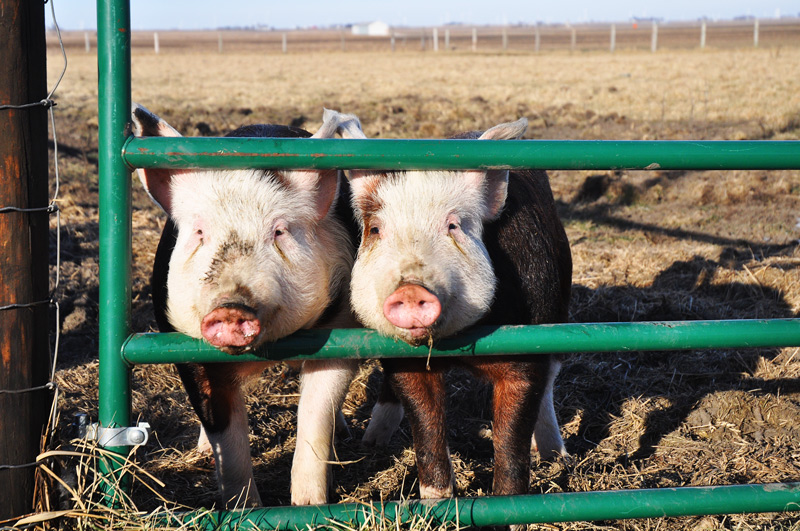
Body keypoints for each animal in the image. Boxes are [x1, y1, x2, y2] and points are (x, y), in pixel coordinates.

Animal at [131, 104, 359, 508]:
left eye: (279, 231)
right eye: (200, 232)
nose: (230, 308)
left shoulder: (341, 332)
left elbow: (315, 416)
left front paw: (308, 505)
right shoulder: (182, 344)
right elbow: (226, 434)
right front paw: (244, 510)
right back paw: (203, 453)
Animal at [331, 111, 571, 500]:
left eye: (454, 225)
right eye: (376, 229)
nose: (410, 289)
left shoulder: (527, 348)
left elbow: (512, 434)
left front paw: (509, 503)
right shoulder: (409, 363)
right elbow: (426, 426)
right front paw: (436, 500)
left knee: (550, 382)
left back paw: (557, 457)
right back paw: (372, 442)